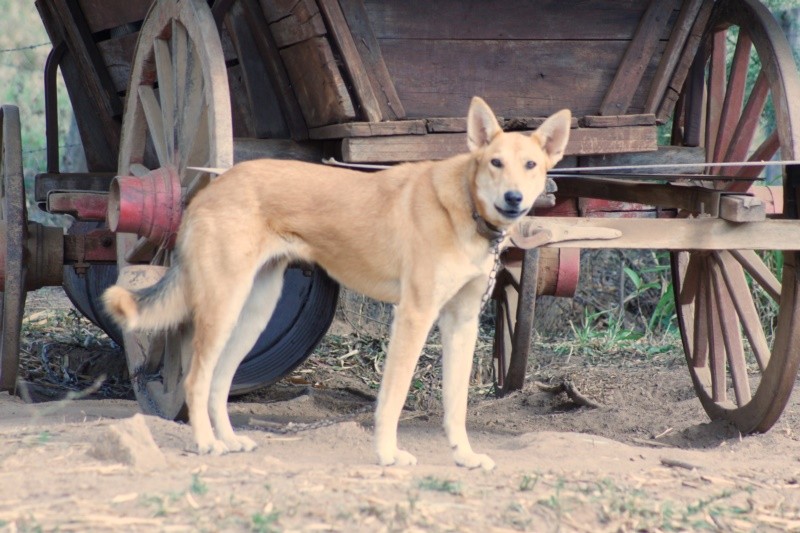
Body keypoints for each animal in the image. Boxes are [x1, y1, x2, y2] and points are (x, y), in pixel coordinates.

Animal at [103, 97, 572, 468]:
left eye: (531, 165)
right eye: (496, 163)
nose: (513, 199)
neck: (462, 206)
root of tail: (207, 188)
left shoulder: (461, 324)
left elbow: (455, 405)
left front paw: (464, 456)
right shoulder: (415, 315)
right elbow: (394, 397)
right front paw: (387, 454)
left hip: (251, 316)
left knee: (218, 384)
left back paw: (229, 440)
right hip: (222, 310)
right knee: (196, 381)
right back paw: (205, 443)